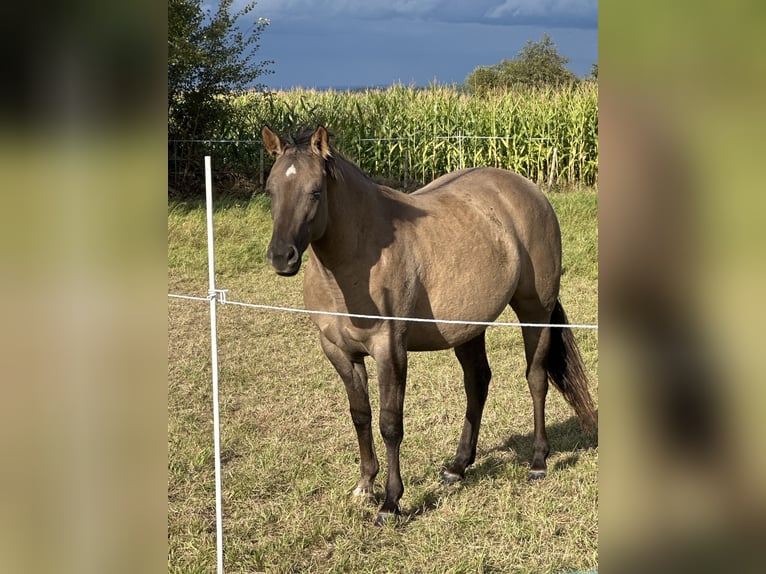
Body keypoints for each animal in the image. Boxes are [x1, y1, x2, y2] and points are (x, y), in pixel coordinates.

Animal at [260, 126, 596, 528]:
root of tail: (530, 191)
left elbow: (390, 424)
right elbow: (360, 416)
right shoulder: (338, 352)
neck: (355, 261)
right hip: (468, 327)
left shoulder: (390, 351)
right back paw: (458, 466)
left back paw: (538, 461)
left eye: (315, 191)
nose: (282, 257)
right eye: (271, 190)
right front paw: (365, 486)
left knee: (536, 379)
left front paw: (390, 502)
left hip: (535, 310)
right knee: (477, 383)